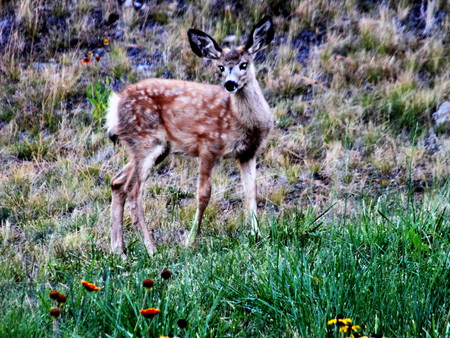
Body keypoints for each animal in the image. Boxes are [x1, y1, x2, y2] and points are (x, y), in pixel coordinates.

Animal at [105, 15, 274, 254]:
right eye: (220, 67)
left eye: (244, 64)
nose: (230, 84)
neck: (239, 120)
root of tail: (115, 105)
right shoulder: (208, 146)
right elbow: (204, 194)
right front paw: (190, 242)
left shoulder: (248, 153)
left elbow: (251, 191)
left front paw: (257, 235)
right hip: (146, 140)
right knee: (134, 190)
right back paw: (151, 249)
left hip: (153, 148)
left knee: (117, 182)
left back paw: (119, 250)